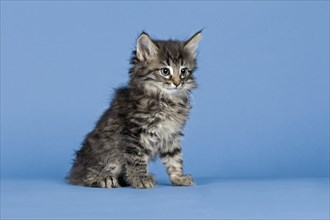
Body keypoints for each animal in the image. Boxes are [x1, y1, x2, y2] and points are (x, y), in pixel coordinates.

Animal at [67, 31, 201, 188]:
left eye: (183, 71)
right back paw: (105, 179)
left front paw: (178, 178)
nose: (177, 83)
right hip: (107, 156)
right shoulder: (134, 133)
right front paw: (140, 178)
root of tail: (74, 170)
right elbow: (136, 158)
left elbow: (174, 158)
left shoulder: (171, 135)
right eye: (165, 71)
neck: (165, 100)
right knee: (87, 176)